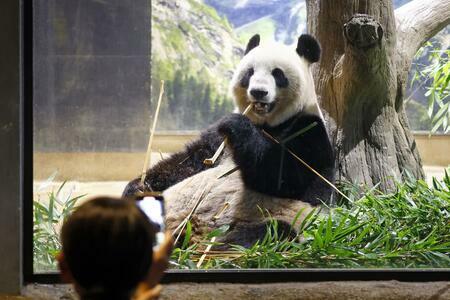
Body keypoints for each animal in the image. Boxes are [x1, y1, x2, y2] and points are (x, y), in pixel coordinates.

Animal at [123, 34, 334, 247]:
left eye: (278, 74)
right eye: (250, 72)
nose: (258, 92)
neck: (267, 125)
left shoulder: (309, 130)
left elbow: (285, 176)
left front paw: (236, 125)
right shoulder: (217, 141)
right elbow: (188, 162)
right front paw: (138, 188)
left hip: (285, 218)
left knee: (271, 231)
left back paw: (218, 243)